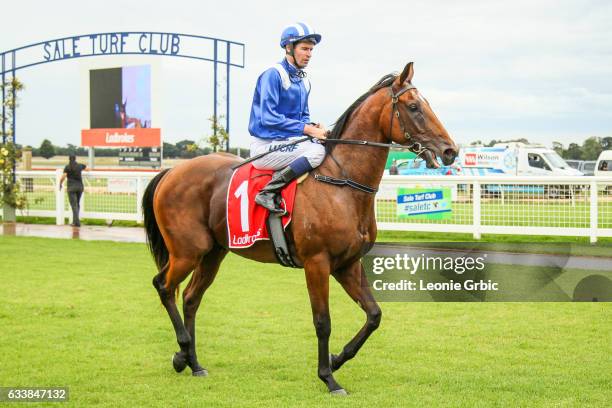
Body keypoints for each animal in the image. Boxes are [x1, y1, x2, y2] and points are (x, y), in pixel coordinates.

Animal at [143, 62, 456, 394]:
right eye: (414, 107)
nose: (451, 150)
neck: (342, 183)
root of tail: (171, 172)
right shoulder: (317, 263)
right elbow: (323, 321)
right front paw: (329, 378)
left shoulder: (347, 264)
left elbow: (374, 315)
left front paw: (336, 359)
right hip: (188, 251)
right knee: (164, 286)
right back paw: (182, 350)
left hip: (213, 253)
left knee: (190, 298)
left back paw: (192, 361)